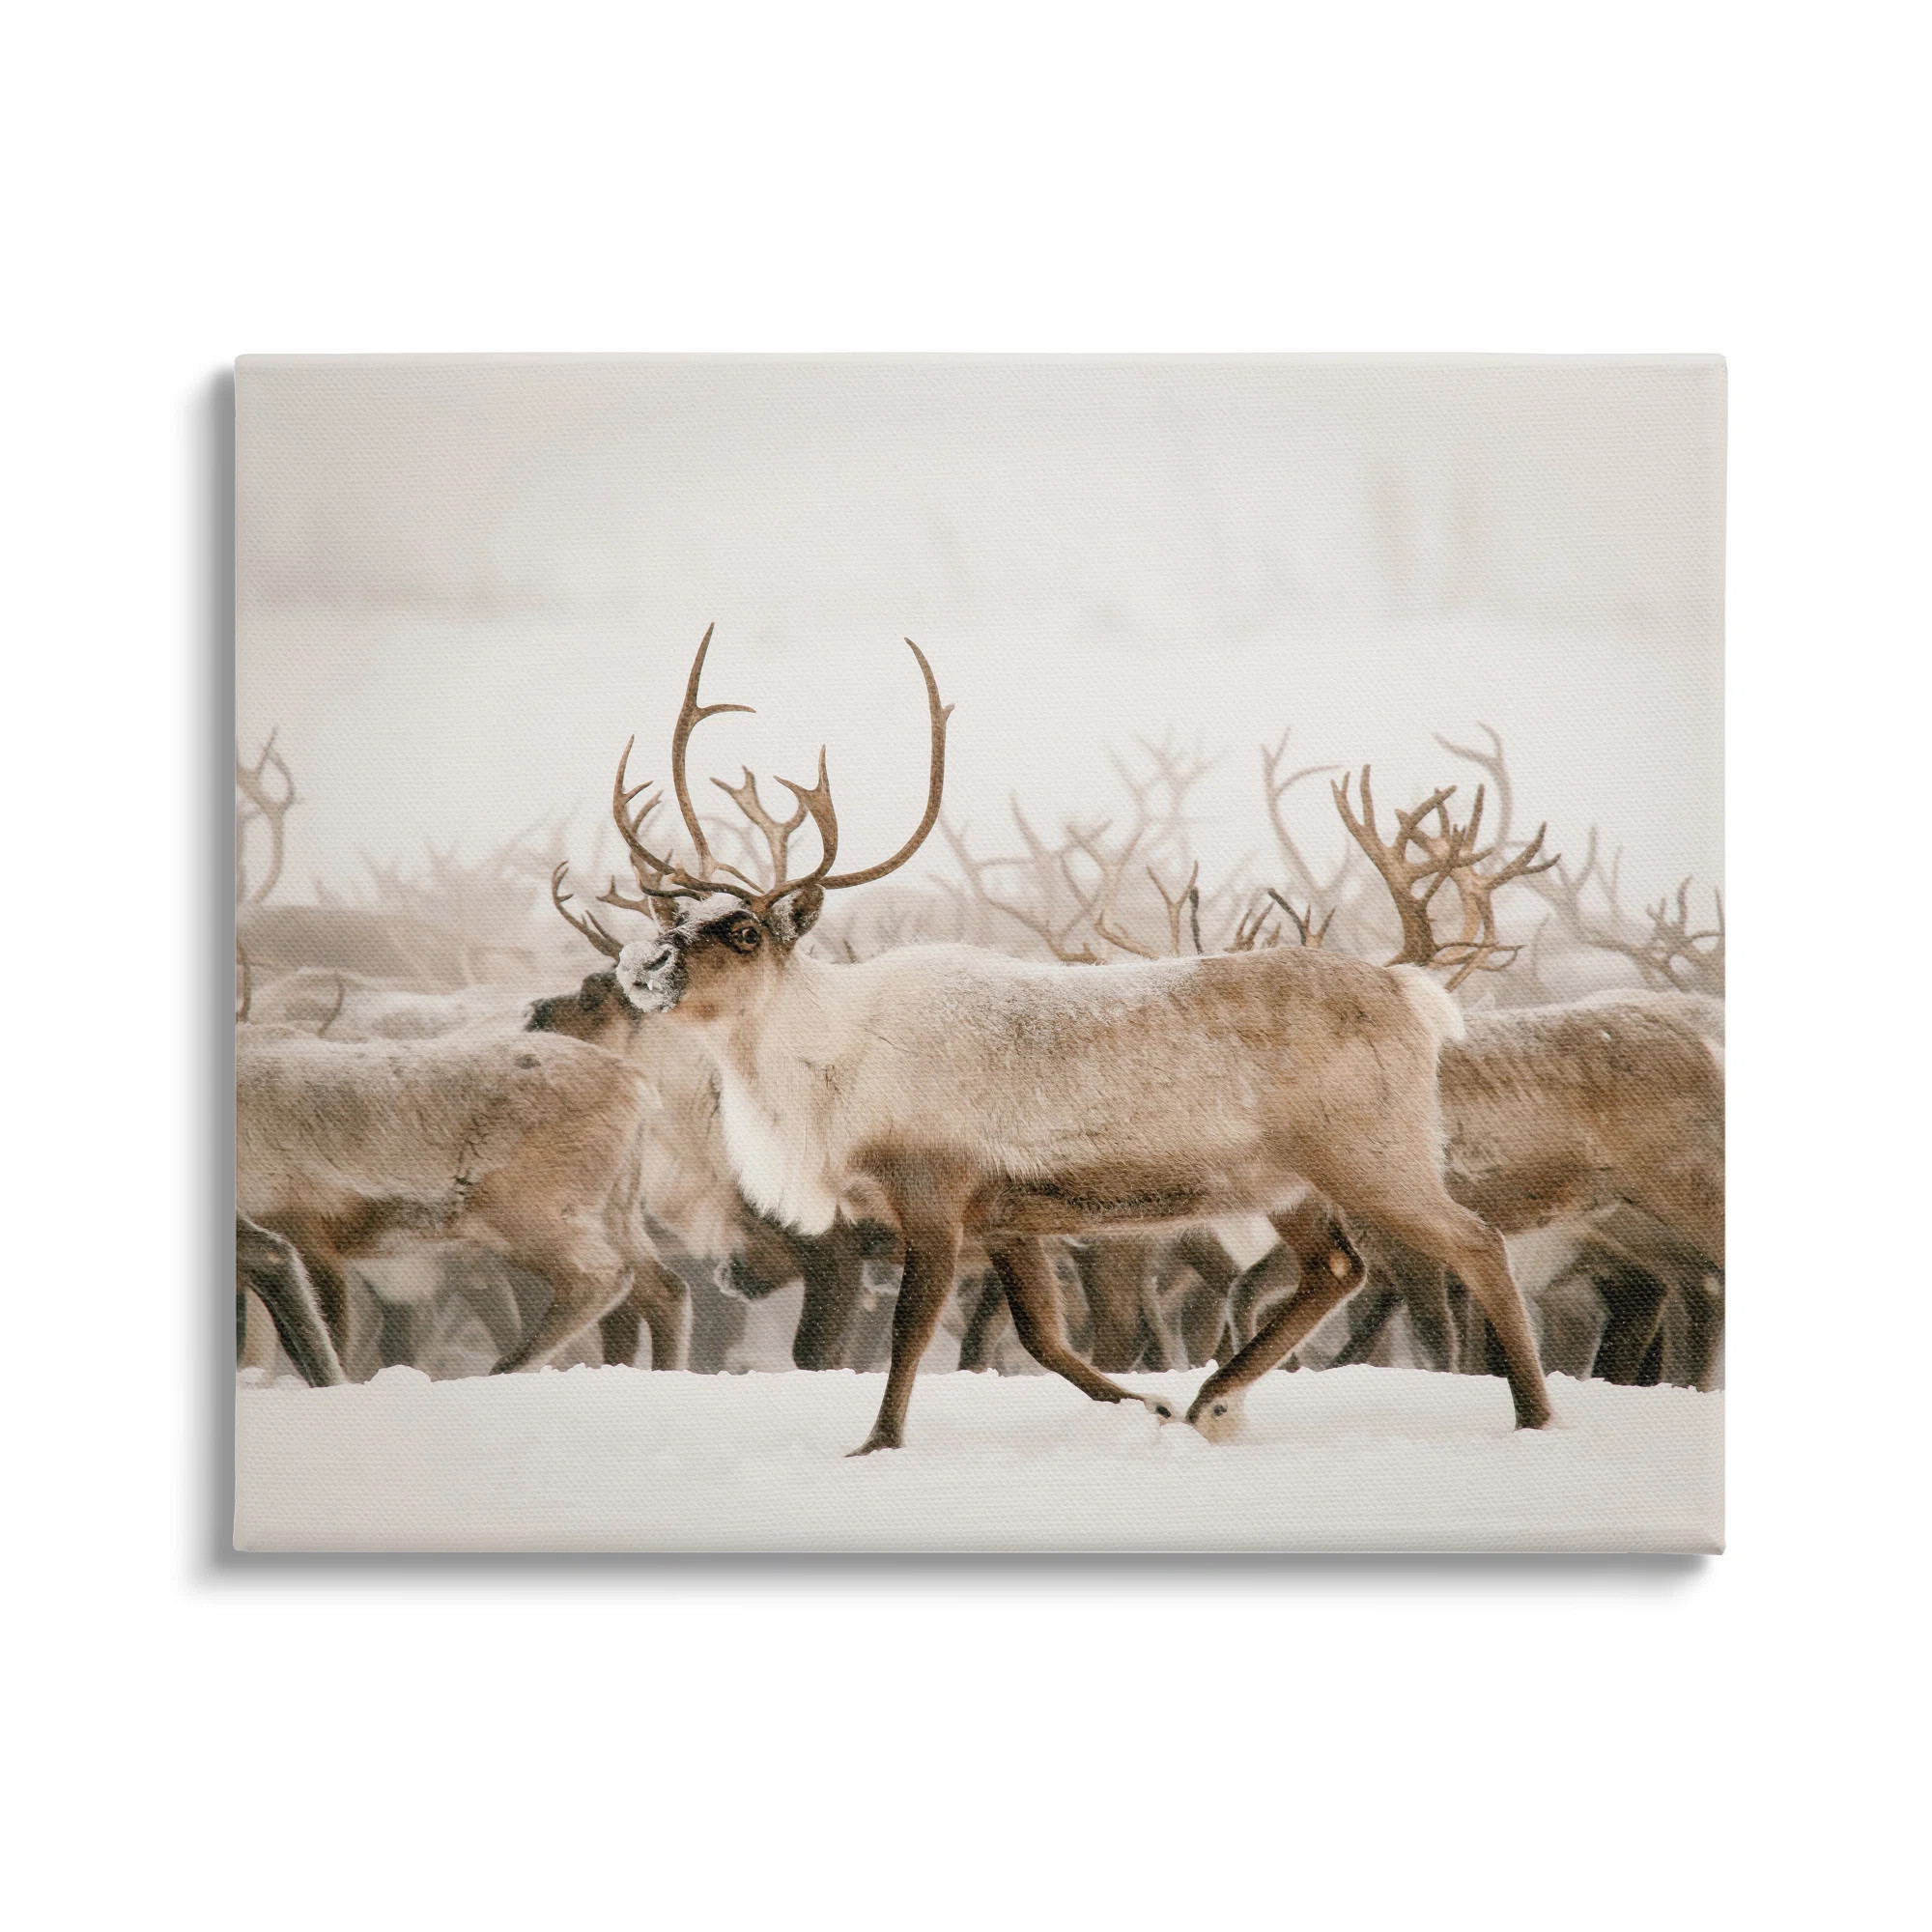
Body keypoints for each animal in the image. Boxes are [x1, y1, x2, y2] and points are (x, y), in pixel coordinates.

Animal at [574, 626, 1553, 1453]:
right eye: (675, 916)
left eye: (743, 931)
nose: (641, 966)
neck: (825, 1066)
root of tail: (1412, 992)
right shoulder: (1010, 1217)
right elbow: (1043, 1338)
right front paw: (1148, 1404)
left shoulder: (934, 1191)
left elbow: (912, 1330)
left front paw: (877, 1444)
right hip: (1287, 1180)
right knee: (1336, 1267)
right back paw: (1213, 1401)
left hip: (1372, 1156)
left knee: (1474, 1242)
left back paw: (1534, 1416)